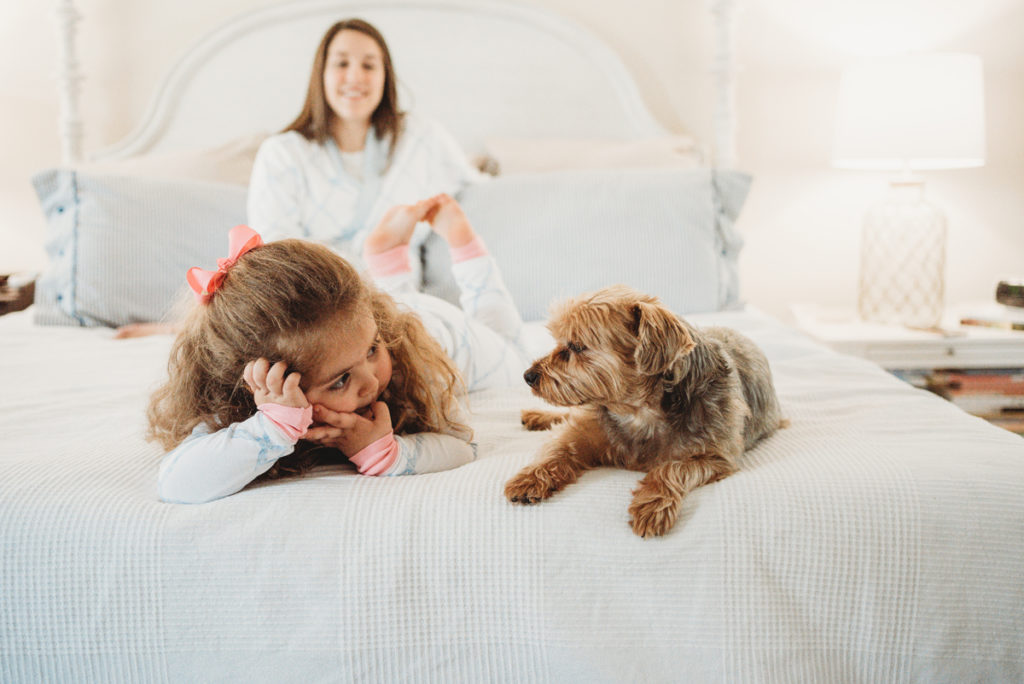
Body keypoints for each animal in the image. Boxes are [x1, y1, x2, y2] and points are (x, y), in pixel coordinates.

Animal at [503, 286, 782, 536]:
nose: (528, 376)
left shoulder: (717, 456)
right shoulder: (590, 427)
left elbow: (672, 468)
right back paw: (537, 416)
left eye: (577, 346)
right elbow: (559, 447)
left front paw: (652, 504)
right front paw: (530, 478)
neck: (638, 411)